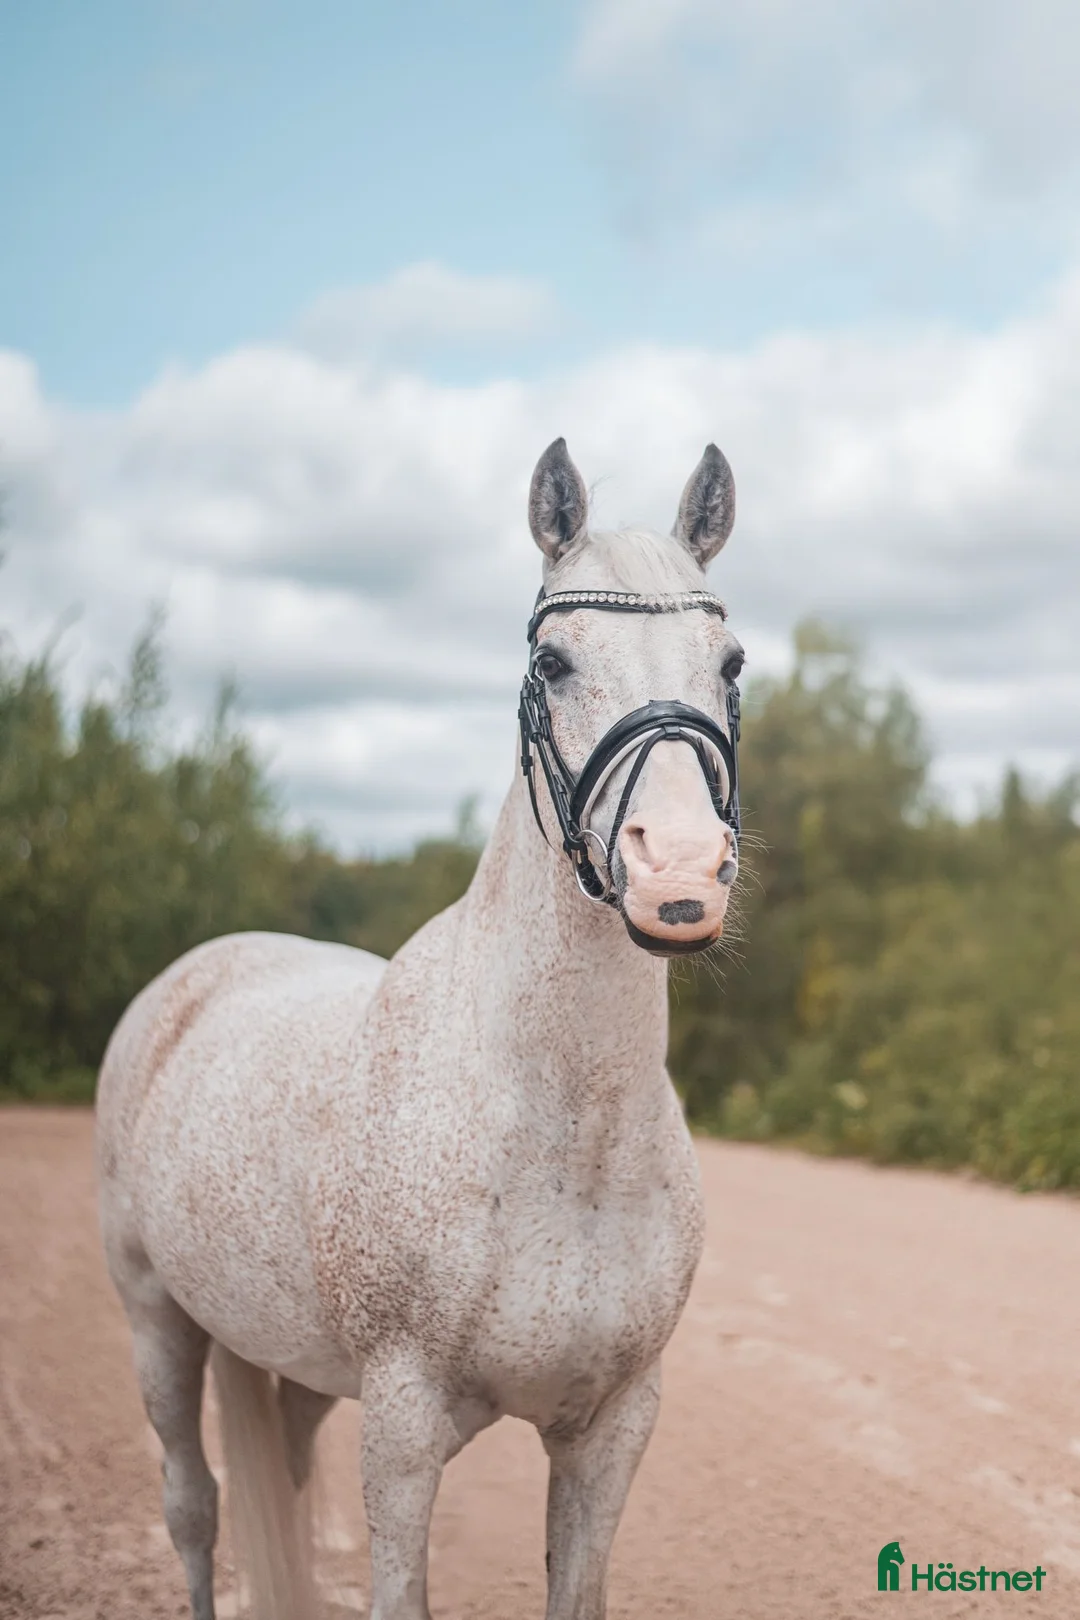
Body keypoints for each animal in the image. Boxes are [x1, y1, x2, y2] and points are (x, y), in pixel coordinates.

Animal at [95, 436, 745, 1620]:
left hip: (297, 1371)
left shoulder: (612, 1429)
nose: (678, 877)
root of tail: (195, 977)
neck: (563, 1133)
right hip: (157, 1322)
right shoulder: (402, 1427)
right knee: (193, 1508)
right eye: (553, 665)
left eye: (729, 664)